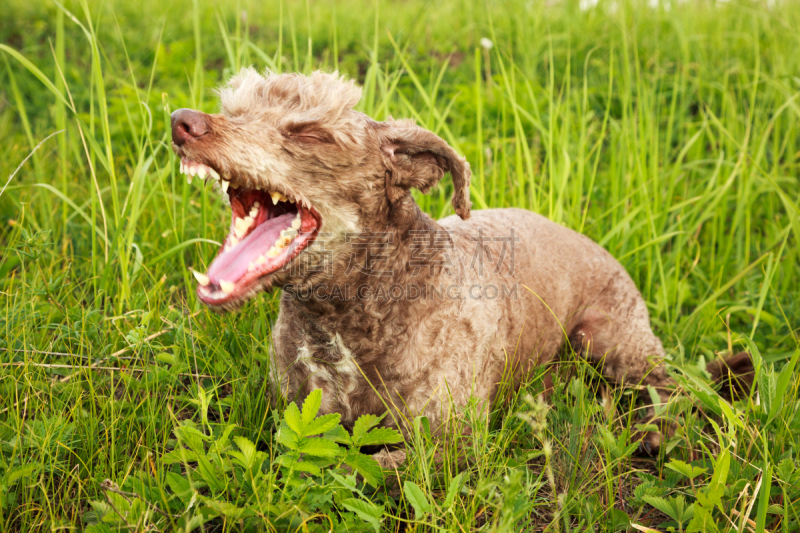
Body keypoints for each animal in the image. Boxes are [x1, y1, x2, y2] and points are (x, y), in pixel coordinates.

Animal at [172, 67, 752, 466]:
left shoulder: (448, 447)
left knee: (676, 387)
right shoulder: (296, 416)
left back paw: (657, 432)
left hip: (611, 340)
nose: (182, 123)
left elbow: (358, 468)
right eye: (235, 107)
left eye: (311, 132)